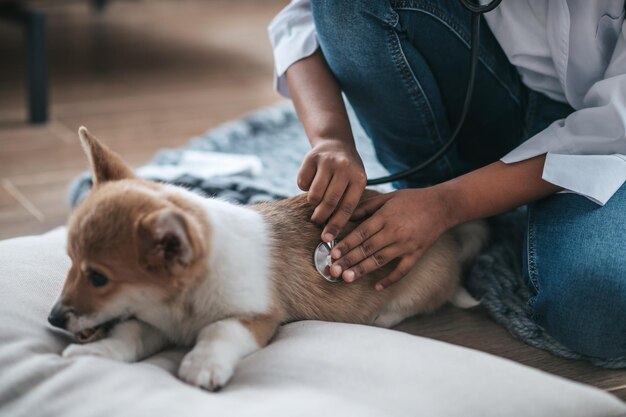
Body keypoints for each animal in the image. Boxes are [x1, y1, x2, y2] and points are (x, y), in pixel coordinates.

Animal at [48, 127, 488, 390]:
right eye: (70, 262)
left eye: (98, 277)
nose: (53, 319)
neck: (181, 303)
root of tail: (448, 238)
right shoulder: (152, 322)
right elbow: (129, 335)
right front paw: (96, 353)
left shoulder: (256, 317)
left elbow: (218, 331)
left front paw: (202, 365)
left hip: (413, 285)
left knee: (412, 304)